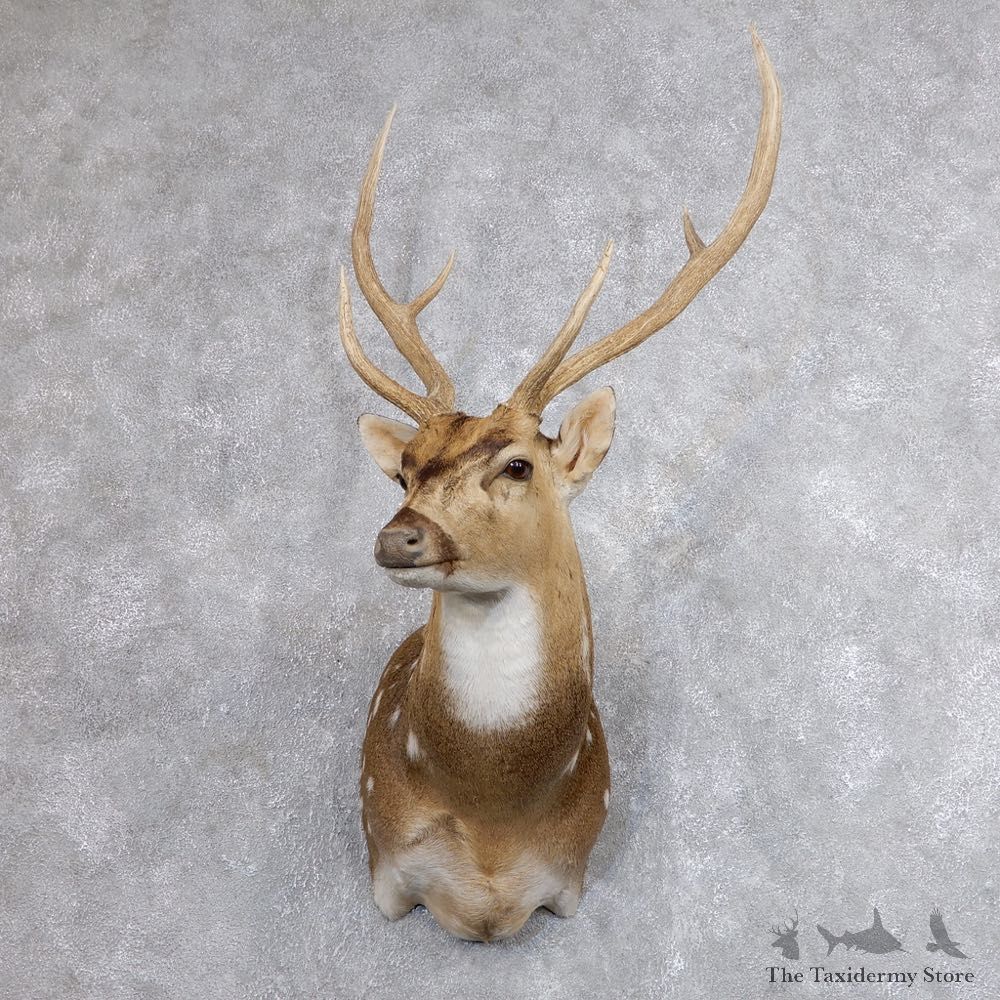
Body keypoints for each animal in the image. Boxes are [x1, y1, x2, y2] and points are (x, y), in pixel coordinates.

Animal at [336, 28, 781, 942]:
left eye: (517, 464)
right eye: (405, 468)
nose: (400, 534)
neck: (491, 822)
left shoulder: (573, 877)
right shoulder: (384, 866)